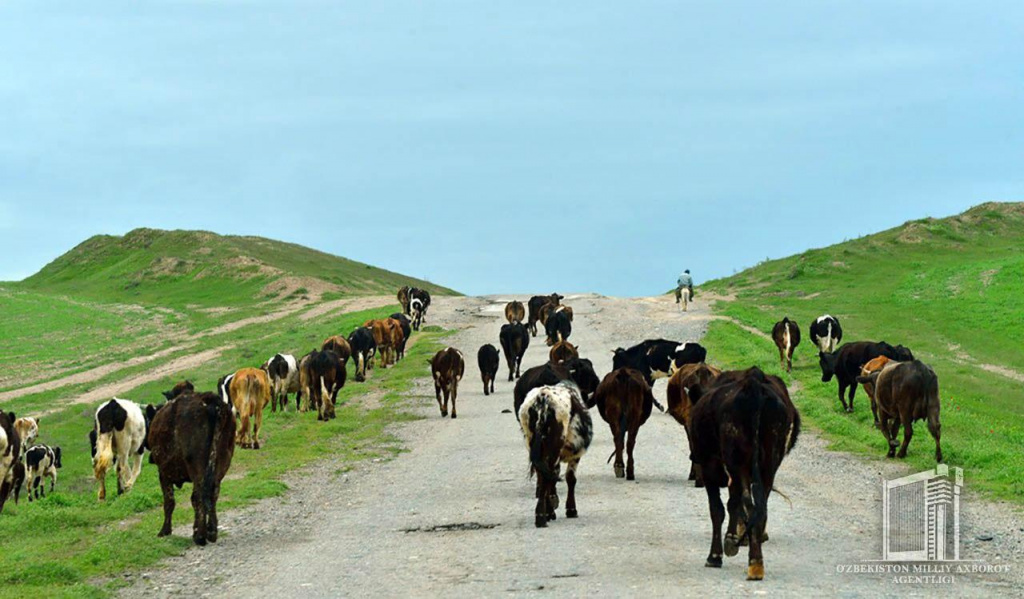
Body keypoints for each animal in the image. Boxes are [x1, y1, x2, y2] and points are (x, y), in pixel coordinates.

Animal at [148, 389, 235, 544]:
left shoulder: (163, 473)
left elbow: (169, 501)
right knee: (212, 493)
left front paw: (165, 530)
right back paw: (211, 532)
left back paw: (200, 535)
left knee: (198, 496)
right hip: (221, 462)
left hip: (196, 466)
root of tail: (210, 399)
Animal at [520, 380, 593, 524]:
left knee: (542, 475)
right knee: (548, 477)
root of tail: (543, 397)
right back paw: (543, 515)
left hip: (534, 444)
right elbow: (570, 478)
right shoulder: (575, 456)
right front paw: (571, 509)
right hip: (554, 448)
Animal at [688, 364, 798, 577]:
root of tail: (753, 385)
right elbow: (733, 504)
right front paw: (732, 538)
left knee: (749, 504)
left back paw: (754, 562)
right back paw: (756, 555)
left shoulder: (709, 468)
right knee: (761, 506)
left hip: (736, 464)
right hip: (768, 463)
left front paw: (715, 555)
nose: (692, 457)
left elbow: (718, 509)